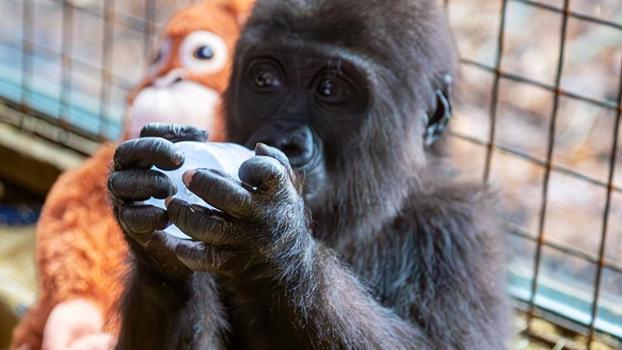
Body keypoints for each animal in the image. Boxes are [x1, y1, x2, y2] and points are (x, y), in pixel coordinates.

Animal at [109, 0, 516, 350]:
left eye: (330, 90)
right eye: (265, 80)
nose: (283, 140)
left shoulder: (461, 230)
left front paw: (275, 244)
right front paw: (155, 257)